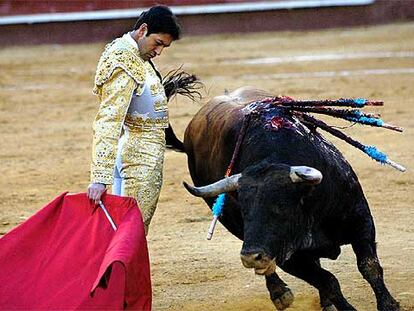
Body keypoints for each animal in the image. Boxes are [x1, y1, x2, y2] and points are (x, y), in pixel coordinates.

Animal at [181, 86, 402, 310]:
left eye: (281, 207)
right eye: (243, 210)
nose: (250, 258)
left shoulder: (360, 221)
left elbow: (369, 267)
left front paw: (389, 305)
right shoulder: (287, 257)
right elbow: (329, 281)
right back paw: (280, 293)